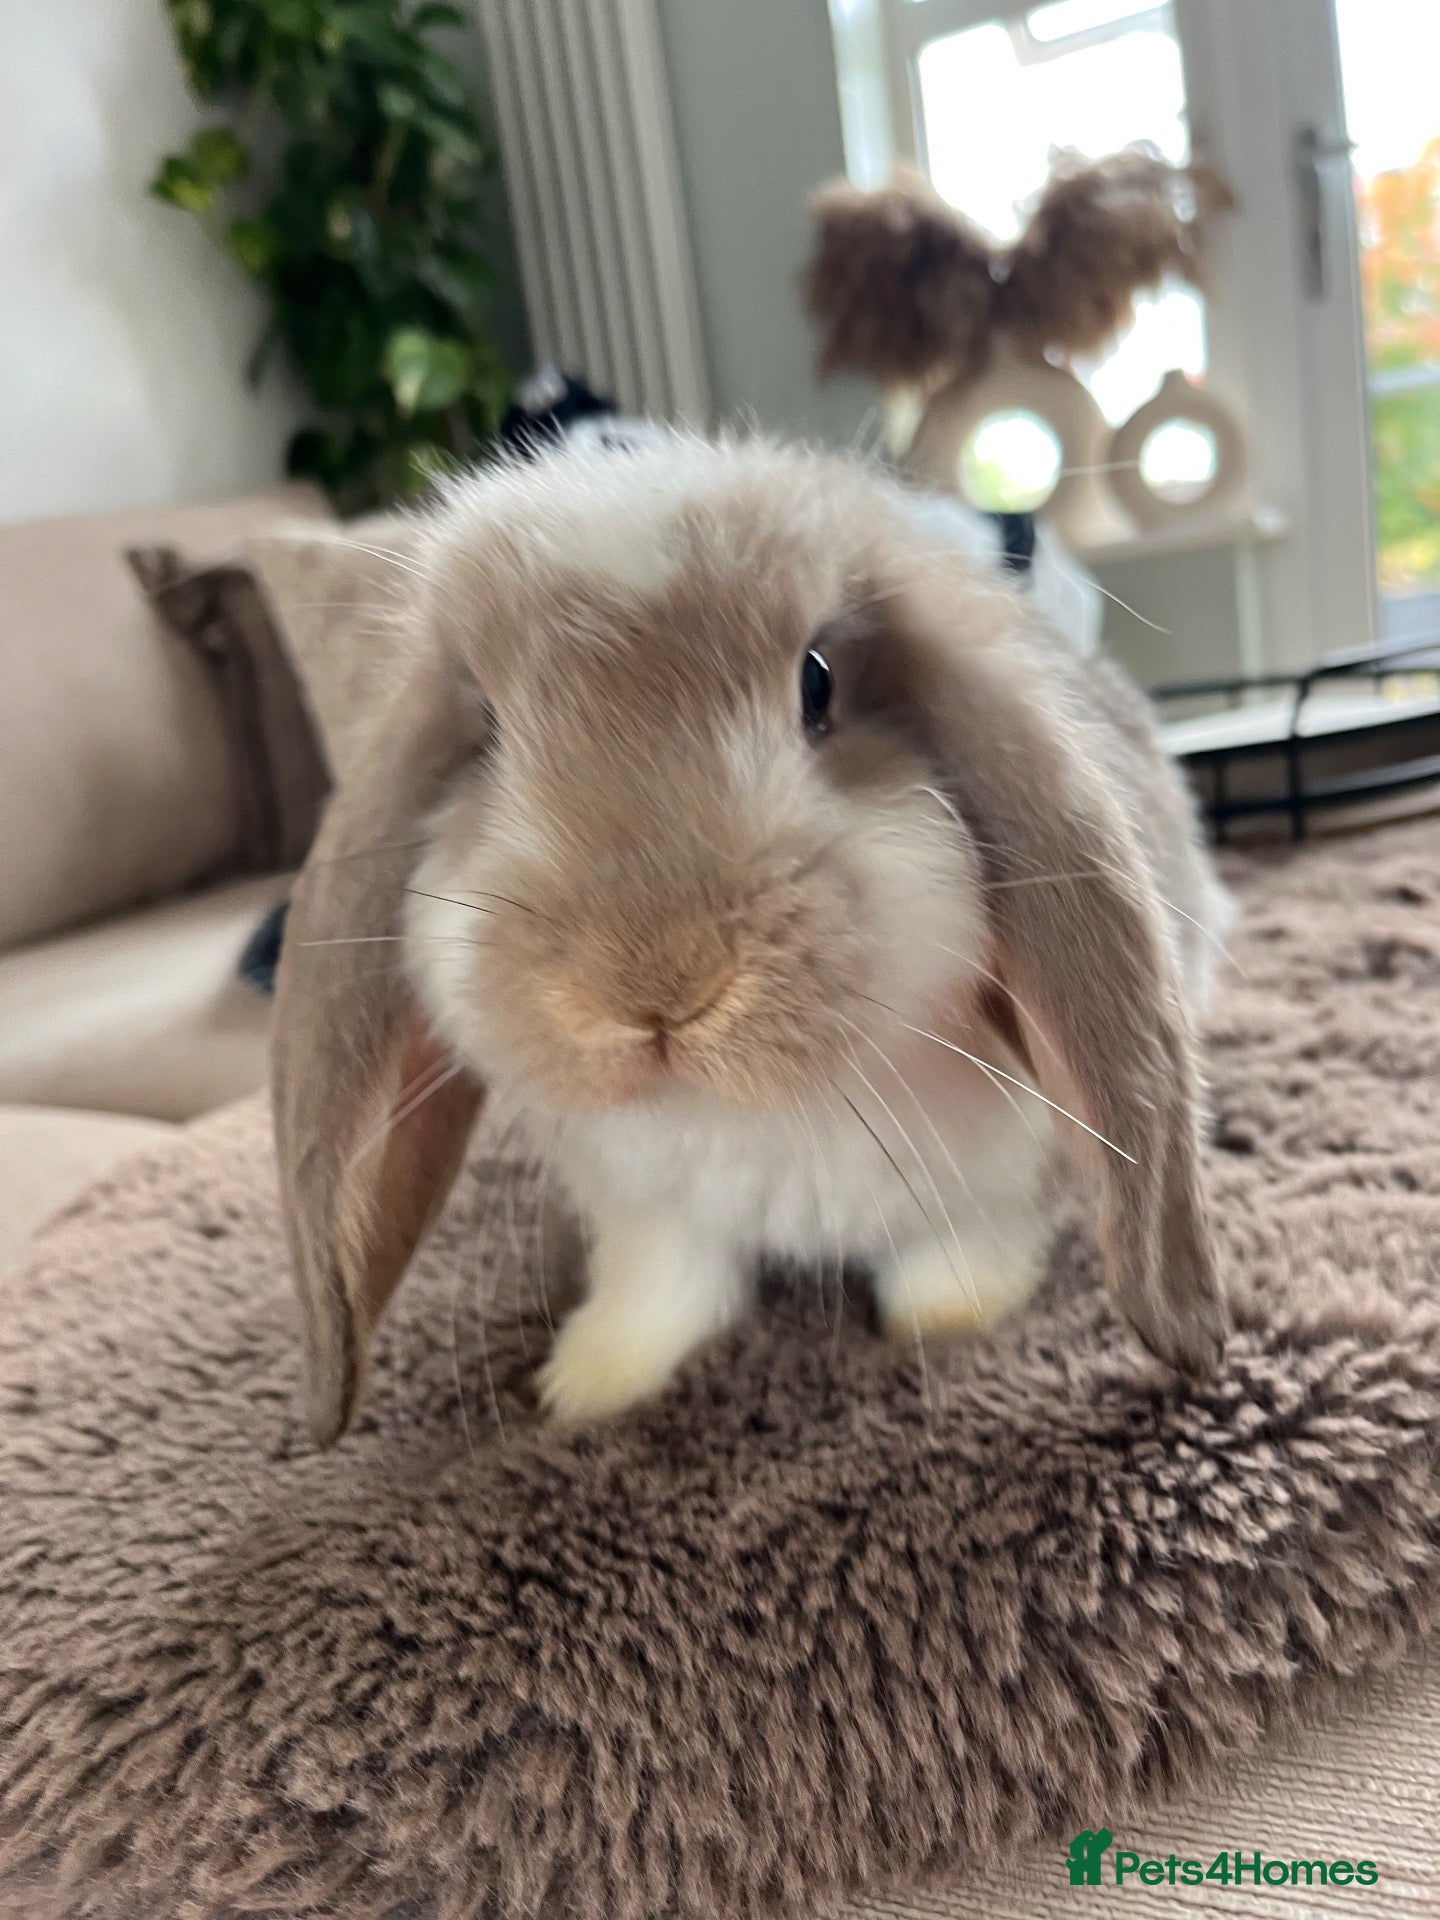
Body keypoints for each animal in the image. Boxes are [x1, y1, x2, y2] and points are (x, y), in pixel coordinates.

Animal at [272, 431, 1232, 1445]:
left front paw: (943, 1321)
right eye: (487, 729)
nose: (652, 985)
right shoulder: (647, 1212)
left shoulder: (1000, 1186)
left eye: (818, 682)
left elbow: (964, 1251)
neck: (759, 1117)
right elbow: (663, 1287)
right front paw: (589, 1386)